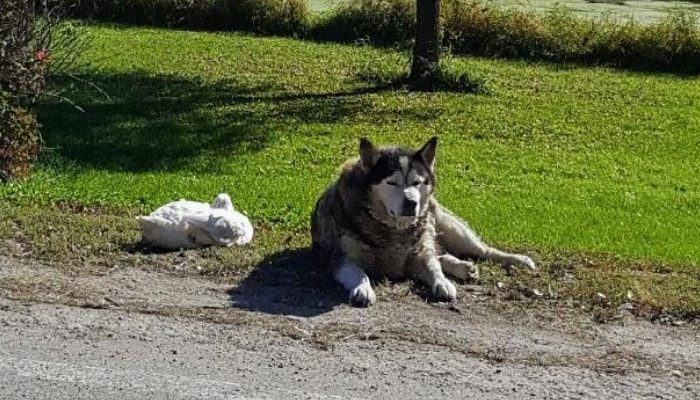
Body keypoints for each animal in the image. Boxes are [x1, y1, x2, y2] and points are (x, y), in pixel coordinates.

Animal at [312, 137, 536, 306]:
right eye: (391, 182)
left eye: (417, 182)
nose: (412, 202)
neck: (393, 227)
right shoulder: (341, 258)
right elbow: (359, 273)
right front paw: (363, 288)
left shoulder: (419, 252)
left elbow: (432, 266)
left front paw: (443, 282)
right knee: (440, 253)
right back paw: (462, 266)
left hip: (448, 226)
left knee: (480, 250)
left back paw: (516, 260)